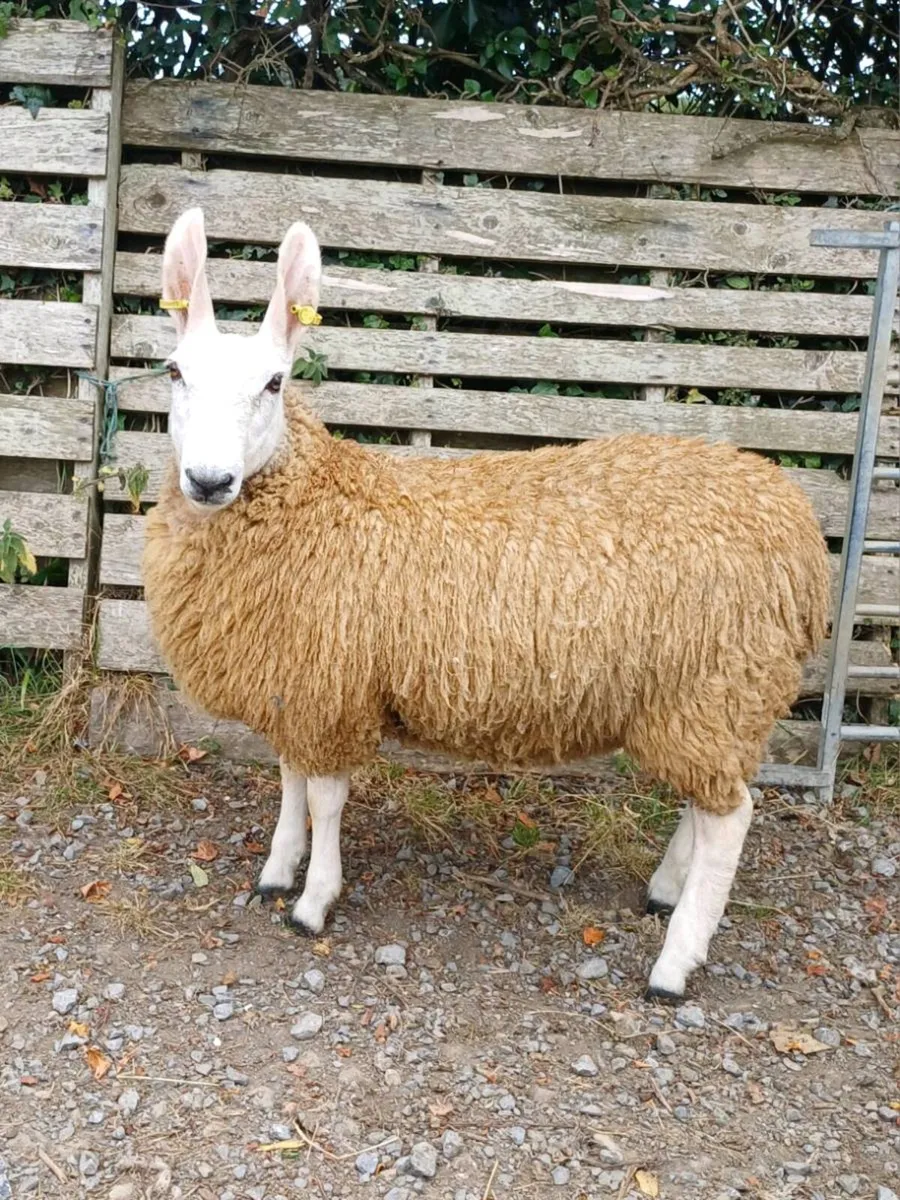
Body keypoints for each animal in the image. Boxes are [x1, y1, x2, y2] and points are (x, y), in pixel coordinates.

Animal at [143, 207, 831, 1001]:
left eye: (275, 383)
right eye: (174, 371)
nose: (209, 480)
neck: (318, 501)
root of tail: (796, 528)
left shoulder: (333, 685)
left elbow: (324, 798)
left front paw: (314, 902)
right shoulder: (297, 683)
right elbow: (289, 785)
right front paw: (277, 873)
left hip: (713, 684)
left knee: (732, 818)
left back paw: (674, 963)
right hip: (710, 700)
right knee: (710, 799)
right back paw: (664, 891)